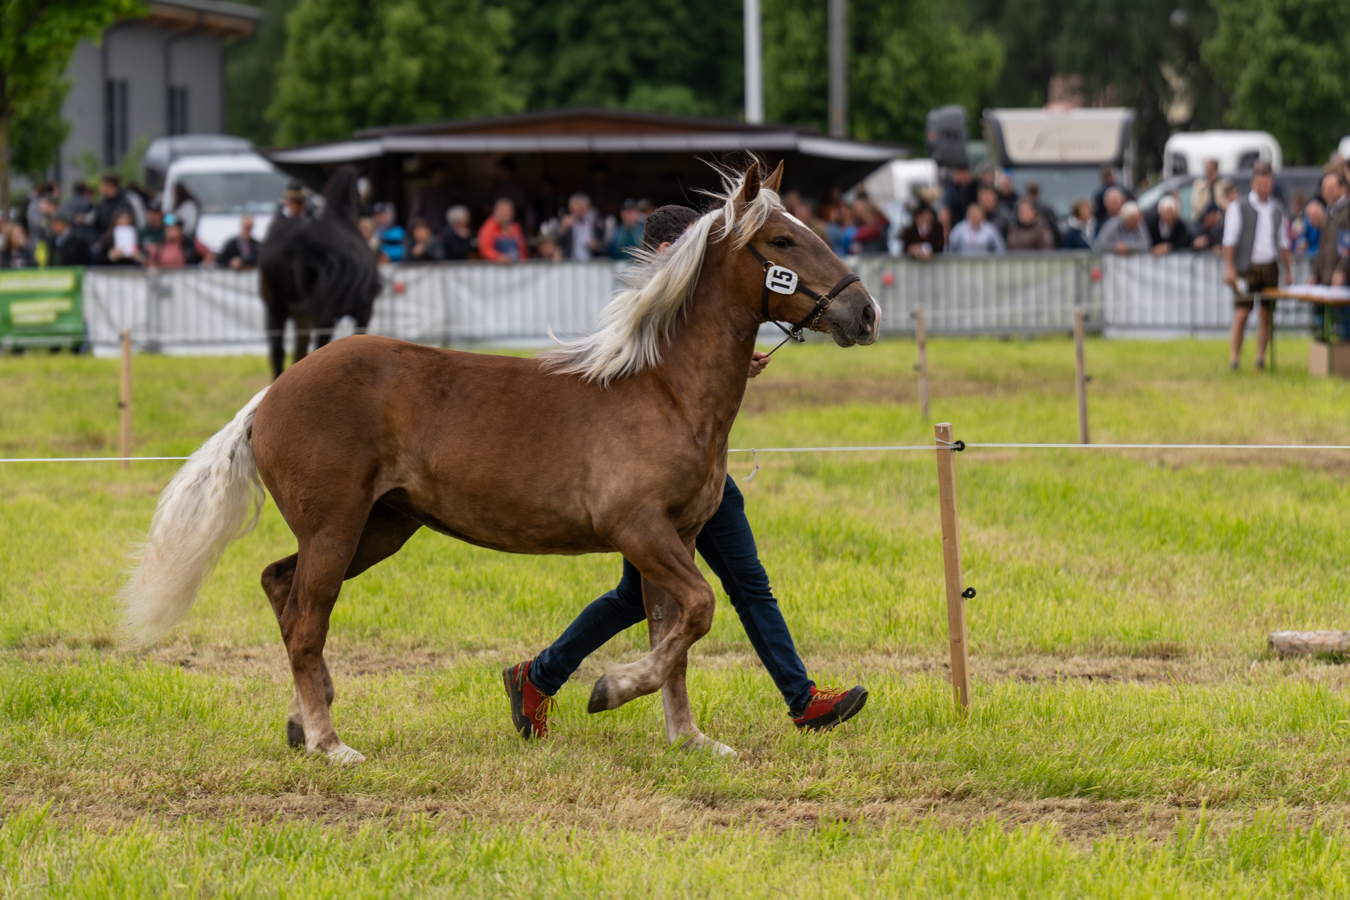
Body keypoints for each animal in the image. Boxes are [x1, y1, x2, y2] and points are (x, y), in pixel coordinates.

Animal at [258, 165, 381, 380]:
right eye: (361, 193)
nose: (370, 211)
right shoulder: (364, 312)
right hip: (321, 314)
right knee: (318, 347)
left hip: (277, 307)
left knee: (279, 349)